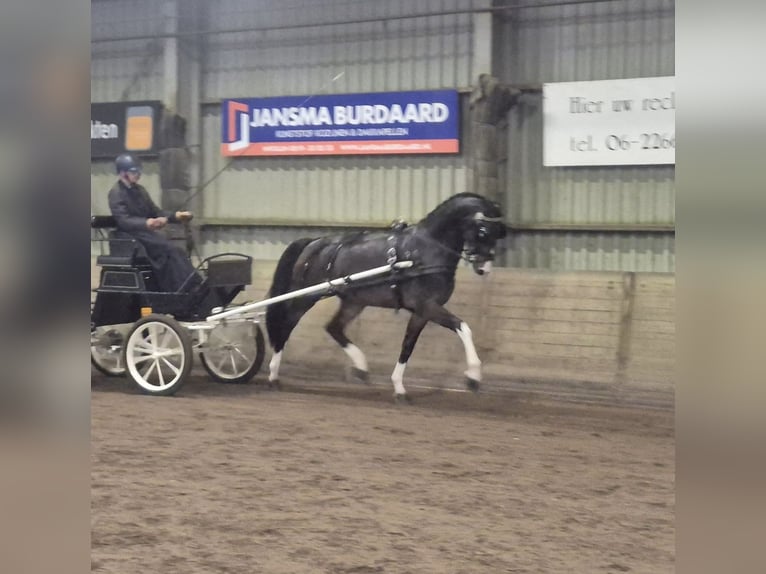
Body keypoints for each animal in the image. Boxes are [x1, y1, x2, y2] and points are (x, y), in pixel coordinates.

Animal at [265, 192, 507, 401]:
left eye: (499, 233)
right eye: (483, 231)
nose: (484, 269)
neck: (425, 251)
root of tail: (314, 243)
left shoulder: (422, 312)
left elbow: (407, 346)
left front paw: (399, 387)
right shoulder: (427, 306)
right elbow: (463, 327)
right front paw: (473, 377)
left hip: (354, 302)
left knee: (333, 327)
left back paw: (361, 367)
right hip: (306, 297)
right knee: (286, 326)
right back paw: (273, 375)